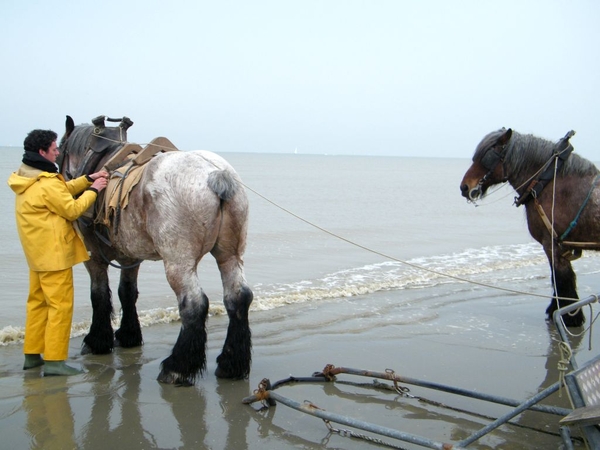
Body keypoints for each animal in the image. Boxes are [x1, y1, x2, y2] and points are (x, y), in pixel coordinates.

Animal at [57, 115, 252, 384]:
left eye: (60, 151)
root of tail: (215, 174)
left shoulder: (93, 257)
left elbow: (99, 295)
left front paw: (98, 341)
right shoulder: (131, 257)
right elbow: (127, 292)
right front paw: (128, 335)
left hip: (178, 262)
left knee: (194, 304)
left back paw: (177, 367)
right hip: (230, 256)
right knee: (238, 297)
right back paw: (231, 364)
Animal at [460, 127, 600, 326]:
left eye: (486, 156)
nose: (464, 187)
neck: (549, 183)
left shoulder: (552, 245)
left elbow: (562, 280)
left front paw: (571, 318)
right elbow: (559, 280)